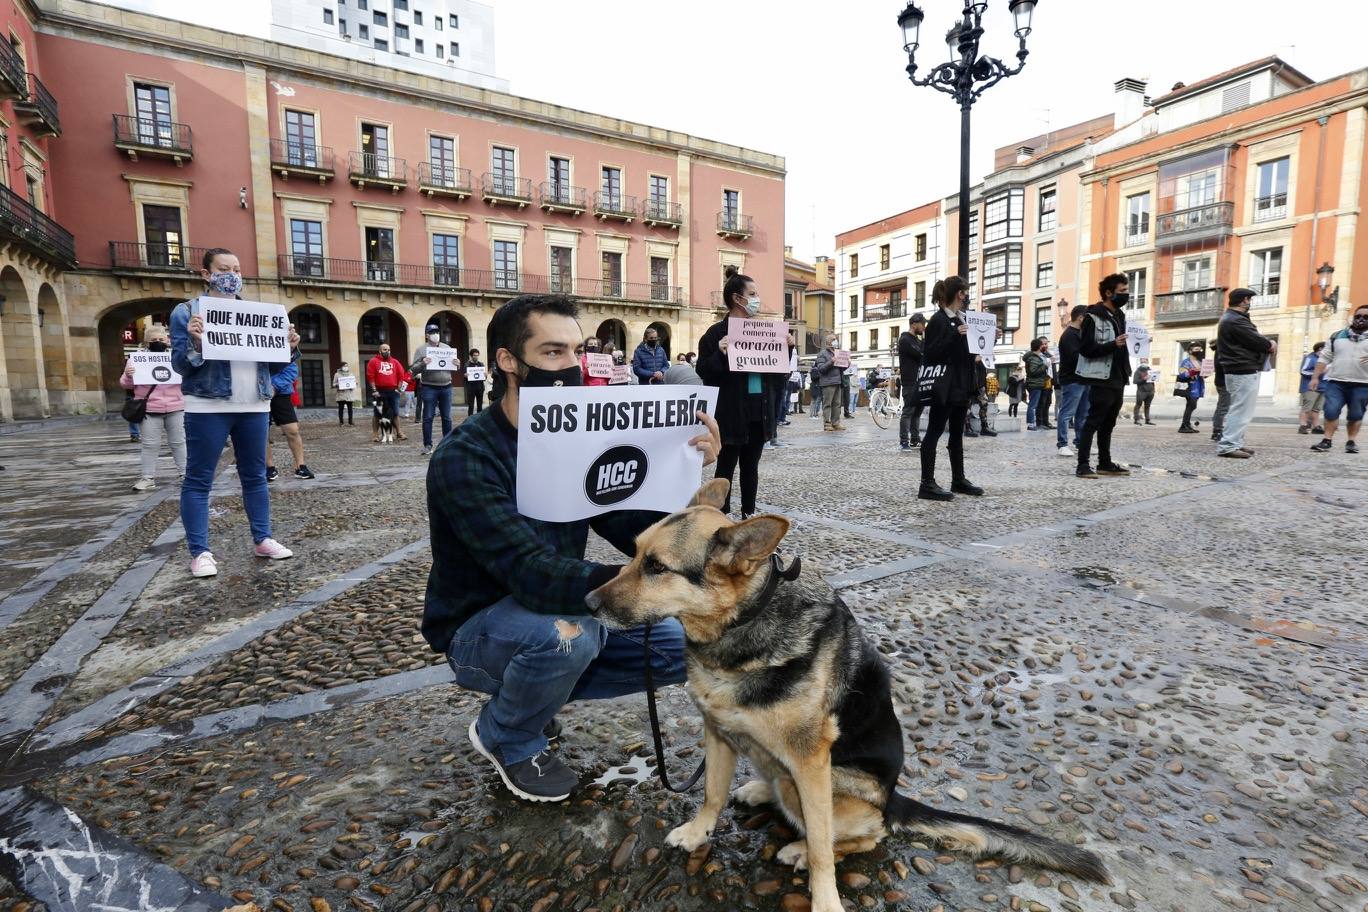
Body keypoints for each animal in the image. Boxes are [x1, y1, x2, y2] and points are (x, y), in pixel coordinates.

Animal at [588, 478, 1110, 912]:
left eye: (657, 567)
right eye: (634, 553)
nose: (589, 604)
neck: (741, 626)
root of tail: (893, 800)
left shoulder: (811, 763)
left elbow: (824, 847)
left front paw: (824, 898)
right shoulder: (717, 732)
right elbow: (711, 794)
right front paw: (699, 832)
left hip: (825, 787)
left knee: (865, 836)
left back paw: (800, 844)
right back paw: (760, 787)